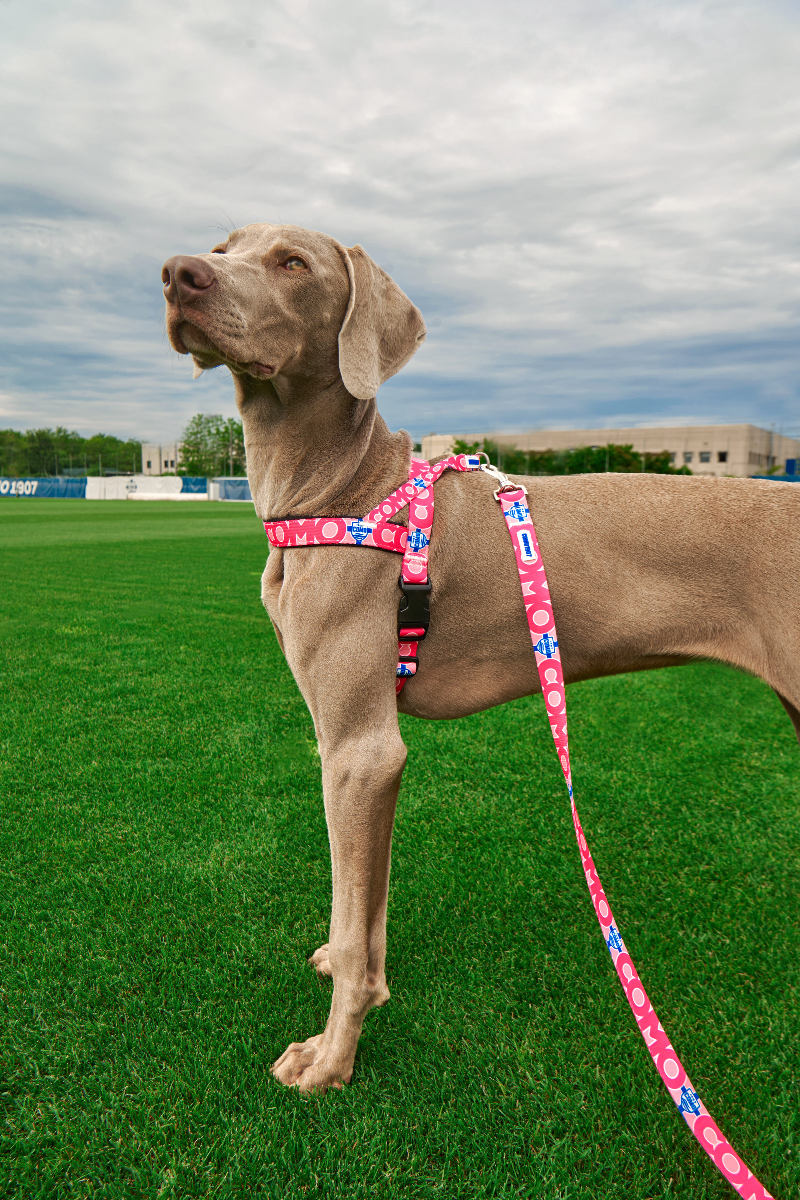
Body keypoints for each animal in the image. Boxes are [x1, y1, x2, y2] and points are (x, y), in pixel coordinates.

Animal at [163, 220, 800, 1094]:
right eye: (225, 247)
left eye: (293, 262)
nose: (178, 274)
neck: (341, 491)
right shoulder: (362, 752)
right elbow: (364, 904)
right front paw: (358, 983)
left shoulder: (361, 749)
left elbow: (353, 913)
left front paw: (330, 1060)